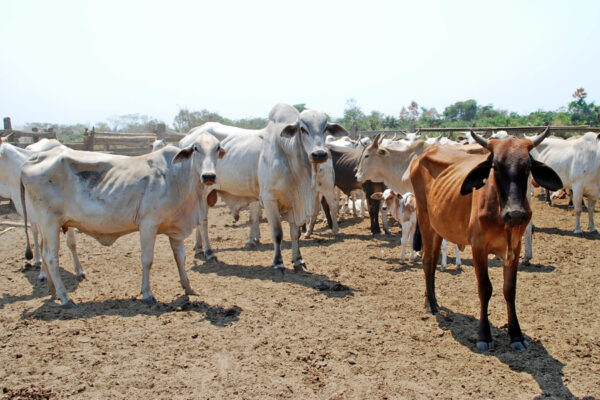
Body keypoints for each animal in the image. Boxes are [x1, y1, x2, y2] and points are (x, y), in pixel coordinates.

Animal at [0, 138, 84, 282]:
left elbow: (71, 243)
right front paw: (43, 273)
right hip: (31, 216)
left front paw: (79, 270)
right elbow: (41, 243)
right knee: (34, 234)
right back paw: (37, 260)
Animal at [21, 131, 224, 306]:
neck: (178, 178)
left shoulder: (175, 228)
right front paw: (147, 294)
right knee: (51, 257)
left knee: (44, 251)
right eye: (196, 148)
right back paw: (65, 298)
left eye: (217, 148)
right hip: (49, 222)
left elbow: (180, 258)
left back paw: (53, 291)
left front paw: (188, 288)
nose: (208, 176)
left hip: (48, 225)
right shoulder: (148, 224)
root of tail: (32, 161)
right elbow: (147, 259)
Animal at [410, 128, 560, 350]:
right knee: (427, 260)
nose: (516, 214)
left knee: (434, 259)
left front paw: (516, 335)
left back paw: (434, 301)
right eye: (495, 166)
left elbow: (510, 290)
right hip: (425, 219)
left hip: (438, 227)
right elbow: (485, 288)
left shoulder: (514, 248)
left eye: (527, 166)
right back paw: (431, 305)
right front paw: (484, 335)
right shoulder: (479, 247)